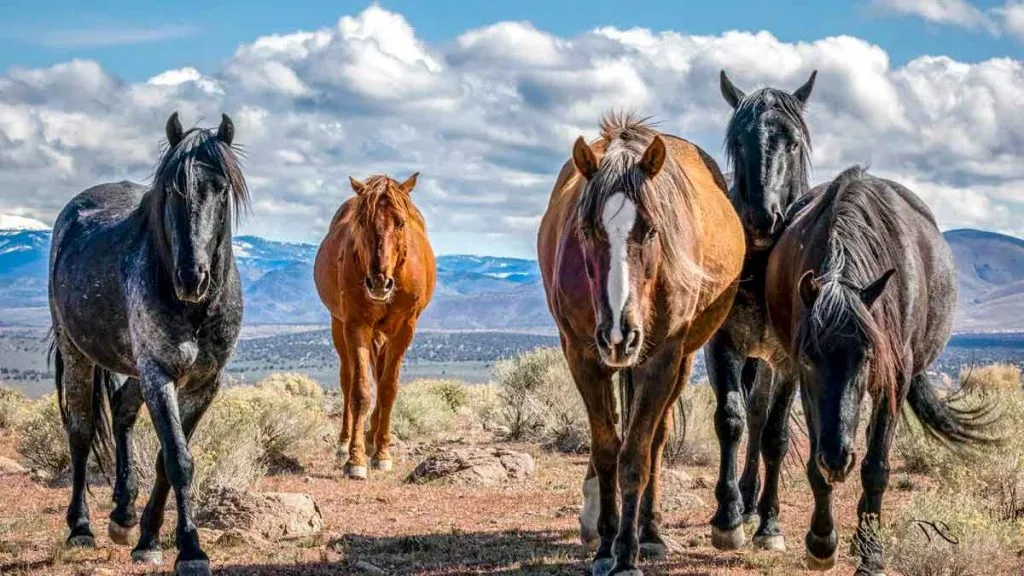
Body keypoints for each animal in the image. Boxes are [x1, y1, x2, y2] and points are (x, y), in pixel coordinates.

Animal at [48, 112, 248, 576]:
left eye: (222, 189)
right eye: (173, 189)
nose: (192, 278)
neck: (197, 311)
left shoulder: (203, 384)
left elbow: (165, 459)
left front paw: (149, 538)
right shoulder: (159, 373)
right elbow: (178, 459)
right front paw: (191, 549)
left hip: (134, 368)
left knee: (121, 409)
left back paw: (122, 515)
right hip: (77, 353)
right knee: (81, 431)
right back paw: (81, 527)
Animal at [314, 173, 435, 480]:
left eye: (401, 222)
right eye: (362, 222)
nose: (379, 283)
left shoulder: (405, 328)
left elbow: (388, 388)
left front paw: (382, 453)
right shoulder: (356, 324)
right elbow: (360, 391)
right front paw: (355, 460)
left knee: (380, 372)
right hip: (339, 324)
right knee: (347, 378)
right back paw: (345, 443)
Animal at [537, 113, 745, 576]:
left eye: (651, 230)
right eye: (586, 229)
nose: (619, 333)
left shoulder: (663, 357)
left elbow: (636, 455)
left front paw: (628, 551)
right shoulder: (582, 355)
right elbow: (607, 448)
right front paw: (605, 544)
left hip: (679, 361)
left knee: (656, 441)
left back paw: (650, 532)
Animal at [765, 166, 994, 574]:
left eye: (868, 356)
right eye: (808, 358)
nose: (839, 458)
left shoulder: (894, 381)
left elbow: (875, 467)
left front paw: (871, 553)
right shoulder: (806, 384)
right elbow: (815, 467)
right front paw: (821, 542)